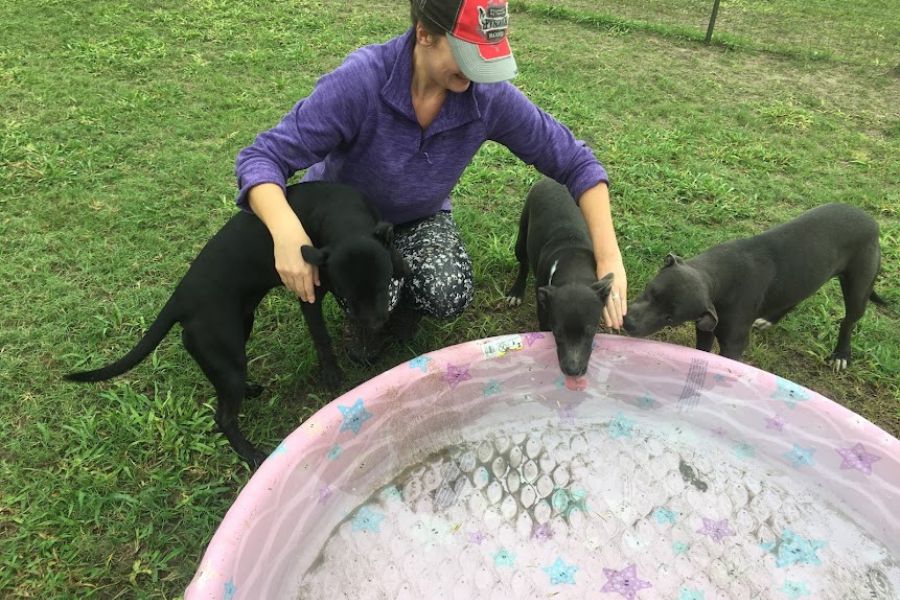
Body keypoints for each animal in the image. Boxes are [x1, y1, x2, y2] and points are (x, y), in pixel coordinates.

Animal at [68, 183, 406, 468]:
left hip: (237, 336)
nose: (376, 324)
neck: (340, 213)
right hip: (227, 354)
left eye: (382, 287)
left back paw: (250, 391)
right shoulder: (308, 298)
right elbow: (322, 340)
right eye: (345, 298)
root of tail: (179, 300)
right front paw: (333, 375)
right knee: (224, 417)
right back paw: (251, 454)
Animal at [502, 177, 616, 376]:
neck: (574, 269)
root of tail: (551, 180)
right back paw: (516, 292)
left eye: (590, 332)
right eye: (558, 332)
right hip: (522, 236)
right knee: (523, 264)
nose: (573, 370)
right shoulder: (545, 315)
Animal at [624, 204, 884, 368]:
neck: (716, 276)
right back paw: (770, 319)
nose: (629, 323)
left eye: (670, 318)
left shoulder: (733, 344)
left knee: (849, 321)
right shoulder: (704, 328)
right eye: (650, 291)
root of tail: (871, 221)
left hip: (858, 287)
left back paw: (841, 354)